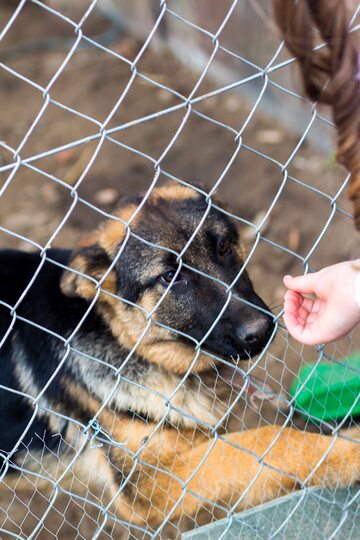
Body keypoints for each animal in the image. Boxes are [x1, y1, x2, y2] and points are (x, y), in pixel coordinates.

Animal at [0, 182, 358, 532]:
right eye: (170, 276)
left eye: (223, 247)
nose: (262, 330)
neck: (118, 337)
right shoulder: (151, 486)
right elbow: (267, 439)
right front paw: (349, 452)